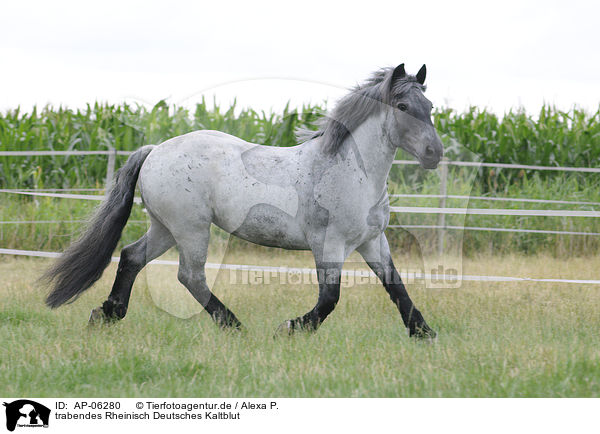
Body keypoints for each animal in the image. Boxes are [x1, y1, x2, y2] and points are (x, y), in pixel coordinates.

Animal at [42, 63, 442, 340]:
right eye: (403, 105)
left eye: (431, 106)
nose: (434, 153)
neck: (350, 170)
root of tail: (155, 150)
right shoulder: (329, 244)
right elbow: (330, 297)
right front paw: (289, 328)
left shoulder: (372, 241)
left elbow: (395, 285)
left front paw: (424, 333)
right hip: (191, 228)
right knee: (190, 276)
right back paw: (234, 326)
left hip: (166, 228)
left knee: (131, 257)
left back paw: (106, 315)